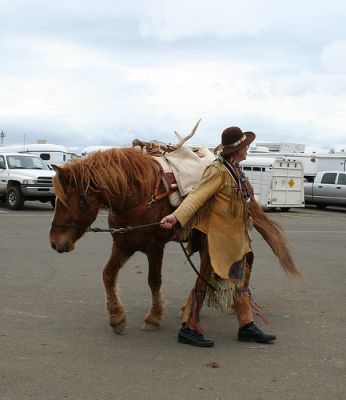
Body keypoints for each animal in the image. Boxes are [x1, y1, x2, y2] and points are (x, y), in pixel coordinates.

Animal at [49, 147, 176, 332]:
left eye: (64, 202)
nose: (53, 242)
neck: (142, 196)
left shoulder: (155, 247)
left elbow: (154, 281)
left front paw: (154, 316)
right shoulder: (123, 245)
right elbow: (107, 274)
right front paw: (116, 316)